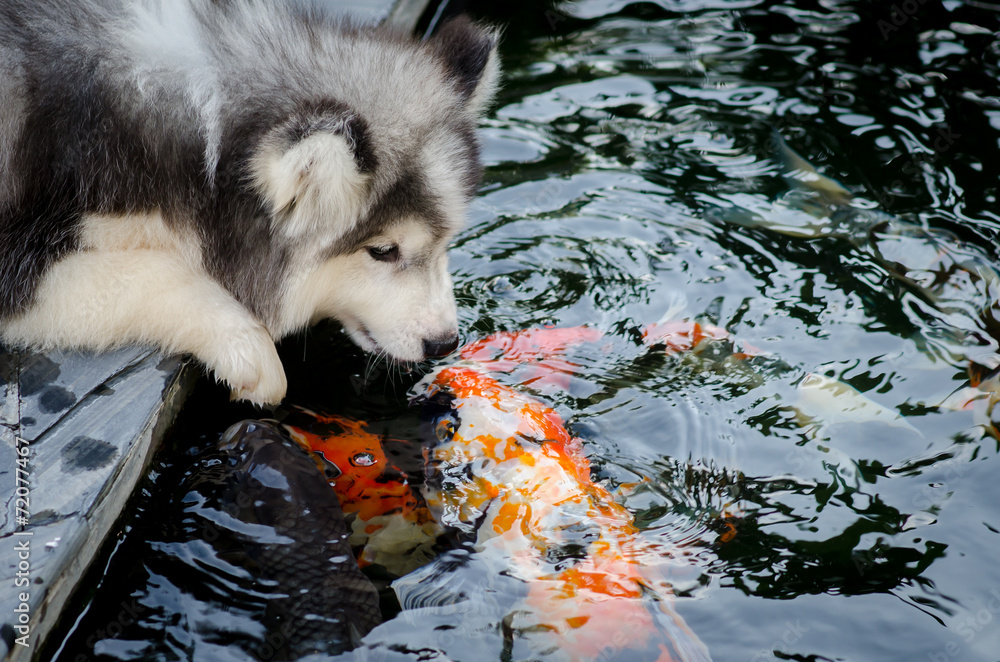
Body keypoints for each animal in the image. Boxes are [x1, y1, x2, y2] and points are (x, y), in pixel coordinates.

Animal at [0, 0, 500, 408]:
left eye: (445, 242)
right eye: (382, 251)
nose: (444, 343)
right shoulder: (19, 257)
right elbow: (150, 272)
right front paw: (246, 345)